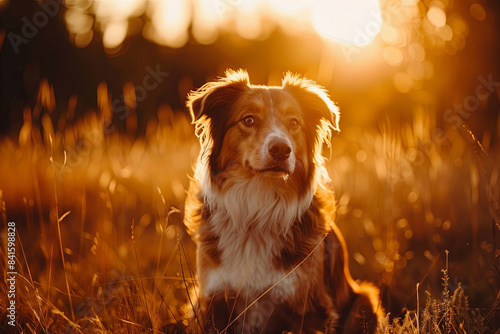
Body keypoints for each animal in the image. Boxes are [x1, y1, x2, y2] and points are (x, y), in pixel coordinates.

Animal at [184, 69, 382, 332]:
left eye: (294, 122)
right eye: (248, 120)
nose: (281, 149)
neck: (258, 208)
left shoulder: (309, 309)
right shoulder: (214, 301)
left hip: (364, 299)